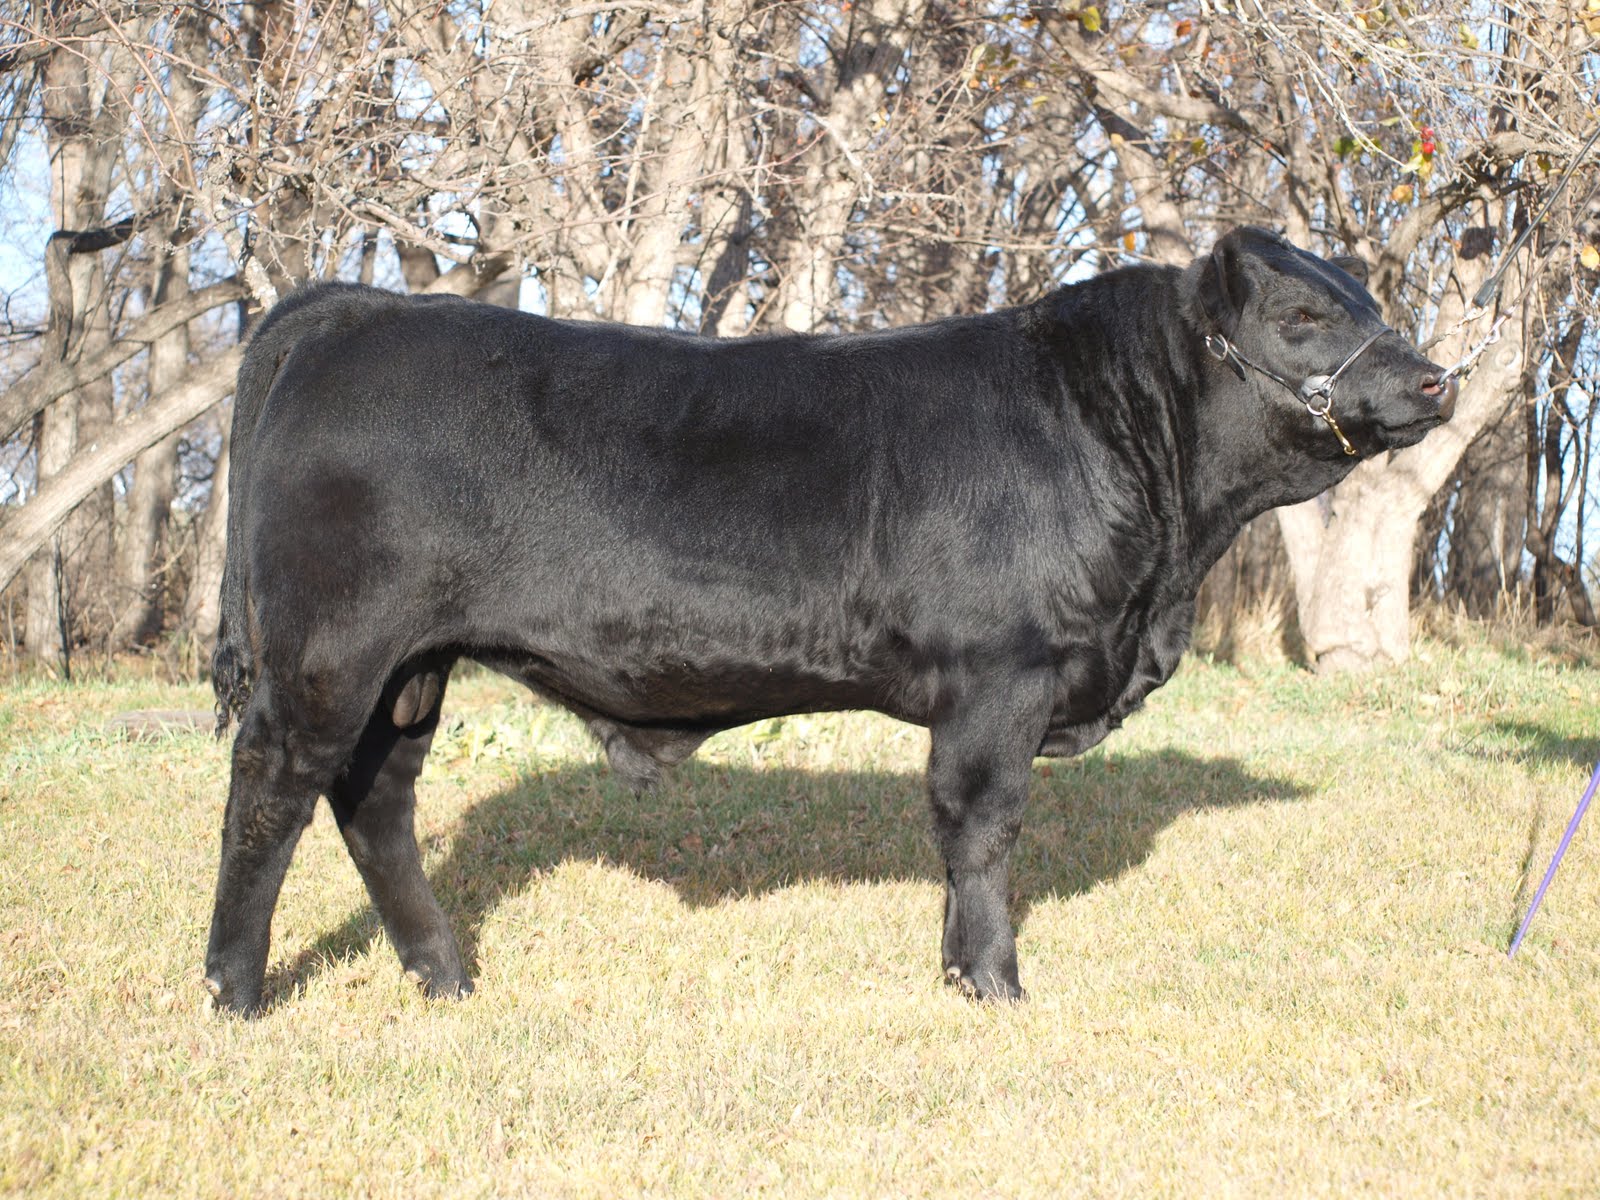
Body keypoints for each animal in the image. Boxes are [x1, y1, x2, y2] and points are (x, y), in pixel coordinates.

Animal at [203, 227, 1455, 1015]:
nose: (1437, 381)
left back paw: (445, 977)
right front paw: (993, 984)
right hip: (330, 655)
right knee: (270, 796)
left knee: (375, 805)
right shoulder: (1001, 677)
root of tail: (357, 305)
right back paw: (234, 992)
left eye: (1368, 305)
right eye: (1300, 314)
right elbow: (981, 831)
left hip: (410, 670)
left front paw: (960, 974)